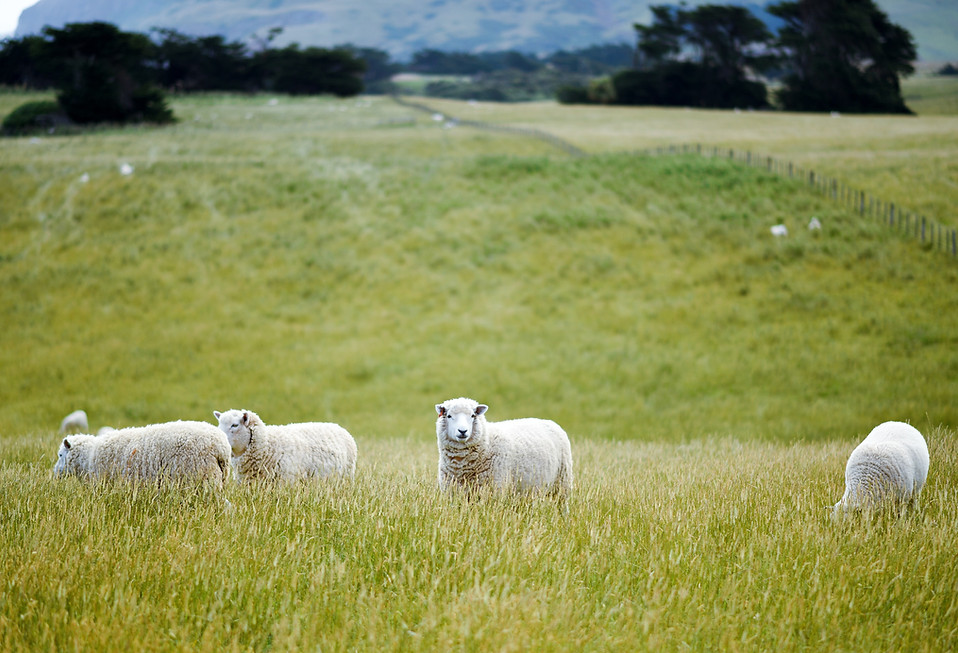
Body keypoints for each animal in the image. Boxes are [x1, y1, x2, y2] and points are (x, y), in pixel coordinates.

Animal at [435, 397, 573, 497]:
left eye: (473, 416)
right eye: (449, 416)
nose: (462, 431)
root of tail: (550, 422)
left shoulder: (495, 489)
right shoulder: (453, 493)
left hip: (562, 482)